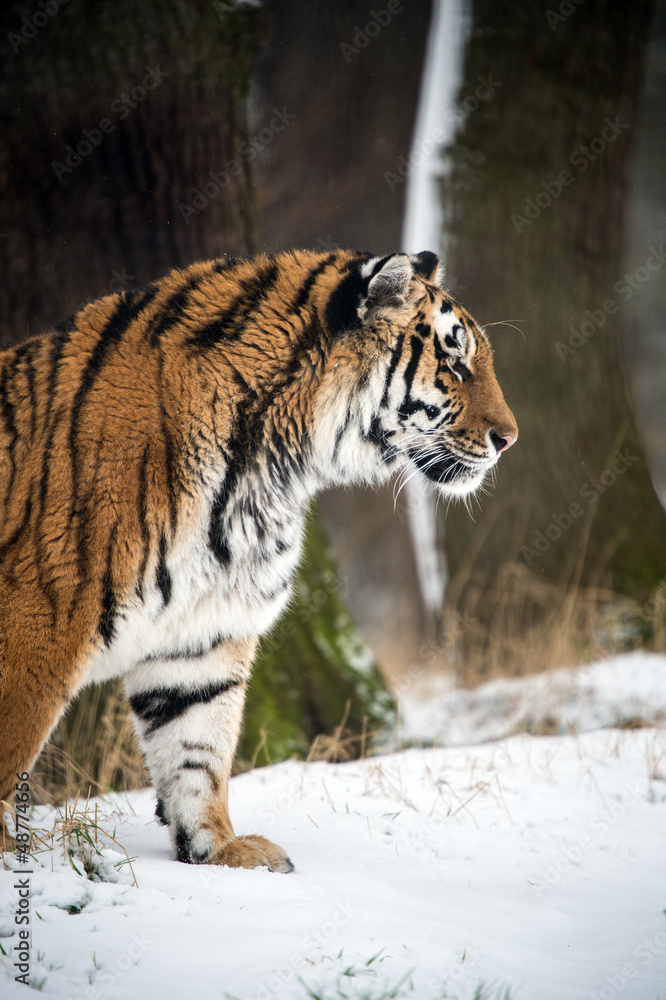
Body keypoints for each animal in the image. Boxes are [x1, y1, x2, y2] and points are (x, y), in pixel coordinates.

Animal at [0, 248, 517, 872]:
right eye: (454, 364)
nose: (509, 439)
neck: (271, 469)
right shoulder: (35, 628)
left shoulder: (203, 630)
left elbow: (197, 748)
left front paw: (221, 849)